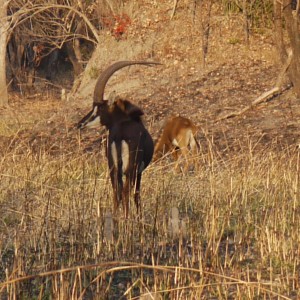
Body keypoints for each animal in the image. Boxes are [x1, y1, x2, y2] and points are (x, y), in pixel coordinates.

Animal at [77, 60, 162, 218]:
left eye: (99, 109)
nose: (80, 124)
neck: (124, 119)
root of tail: (119, 135)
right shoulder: (139, 171)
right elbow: (136, 194)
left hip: (113, 168)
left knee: (116, 192)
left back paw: (116, 218)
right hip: (130, 169)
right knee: (126, 192)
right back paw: (127, 219)